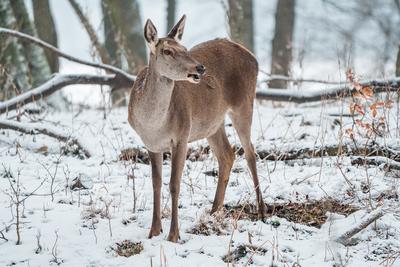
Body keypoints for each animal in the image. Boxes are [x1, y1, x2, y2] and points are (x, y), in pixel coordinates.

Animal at [128, 14, 266, 244]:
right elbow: (156, 184)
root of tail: (253, 56)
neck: (154, 124)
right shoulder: (151, 144)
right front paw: (154, 231)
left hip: (244, 103)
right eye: (167, 51)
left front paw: (173, 235)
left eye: (184, 48)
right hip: (212, 123)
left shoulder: (181, 136)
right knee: (227, 155)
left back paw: (262, 210)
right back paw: (214, 211)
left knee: (250, 152)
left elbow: (174, 184)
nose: (200, 68)